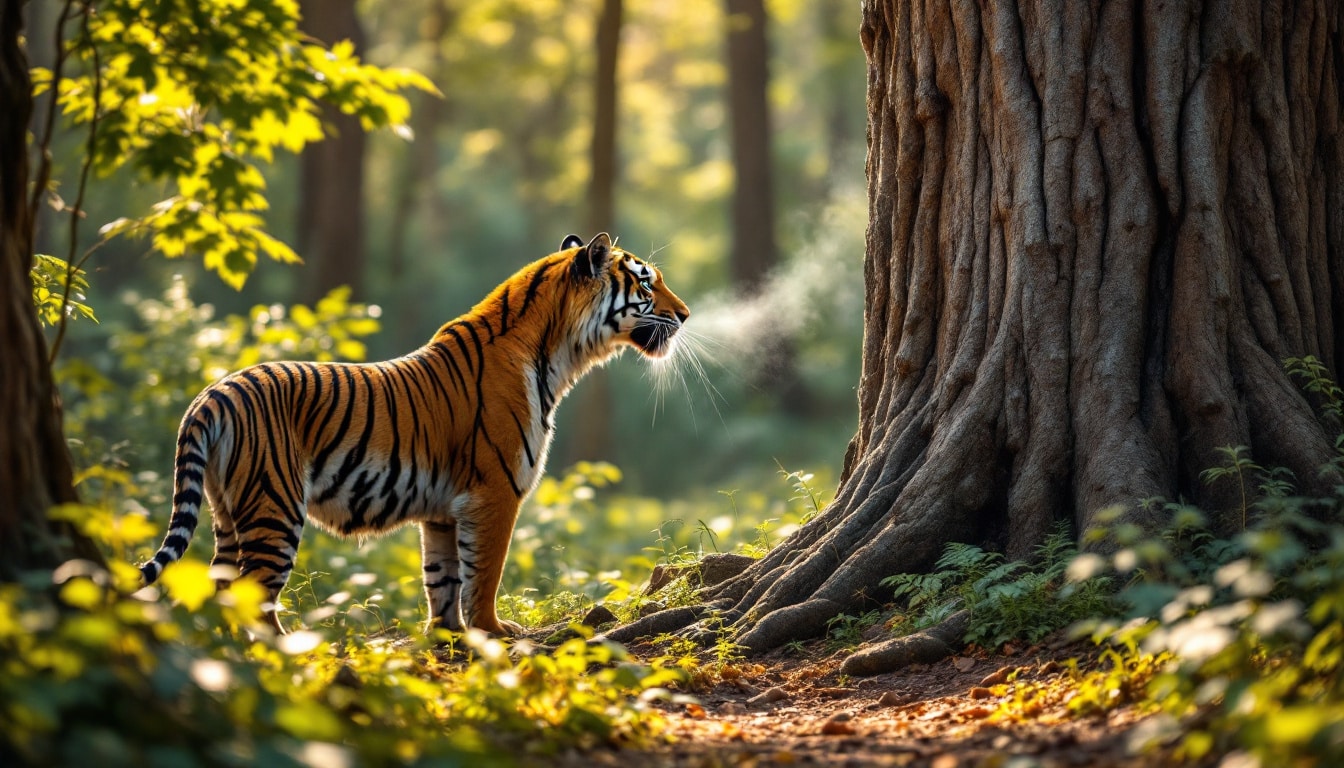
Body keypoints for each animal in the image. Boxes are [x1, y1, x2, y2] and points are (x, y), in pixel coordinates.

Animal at [137, 234, 693, 637]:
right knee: (252, 597)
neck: (559, 354)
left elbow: (442, 577)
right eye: (648, 286)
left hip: (227, 510)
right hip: (273, 506)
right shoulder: (496, 491)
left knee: (219, 590)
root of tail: (213, 393)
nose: (686, 315)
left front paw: (447, 635)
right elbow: (485, 571)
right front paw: (494, 631)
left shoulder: (444, 508)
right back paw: (282, 653)